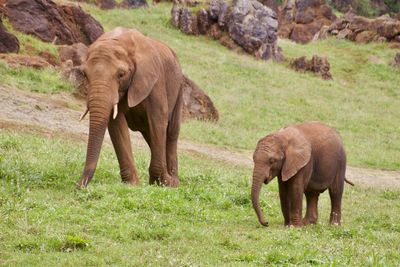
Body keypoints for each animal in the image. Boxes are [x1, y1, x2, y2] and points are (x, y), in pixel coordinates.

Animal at [76, 27, 184, 188]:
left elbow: (158, 120)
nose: (79, 186)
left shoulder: (155, 82)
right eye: (84, 74)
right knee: (150, 135)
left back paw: (174, 182)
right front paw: (133, 184)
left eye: (121, 74)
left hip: (179, 89)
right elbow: (116, 124)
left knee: (171, 132)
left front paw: (163, 183)